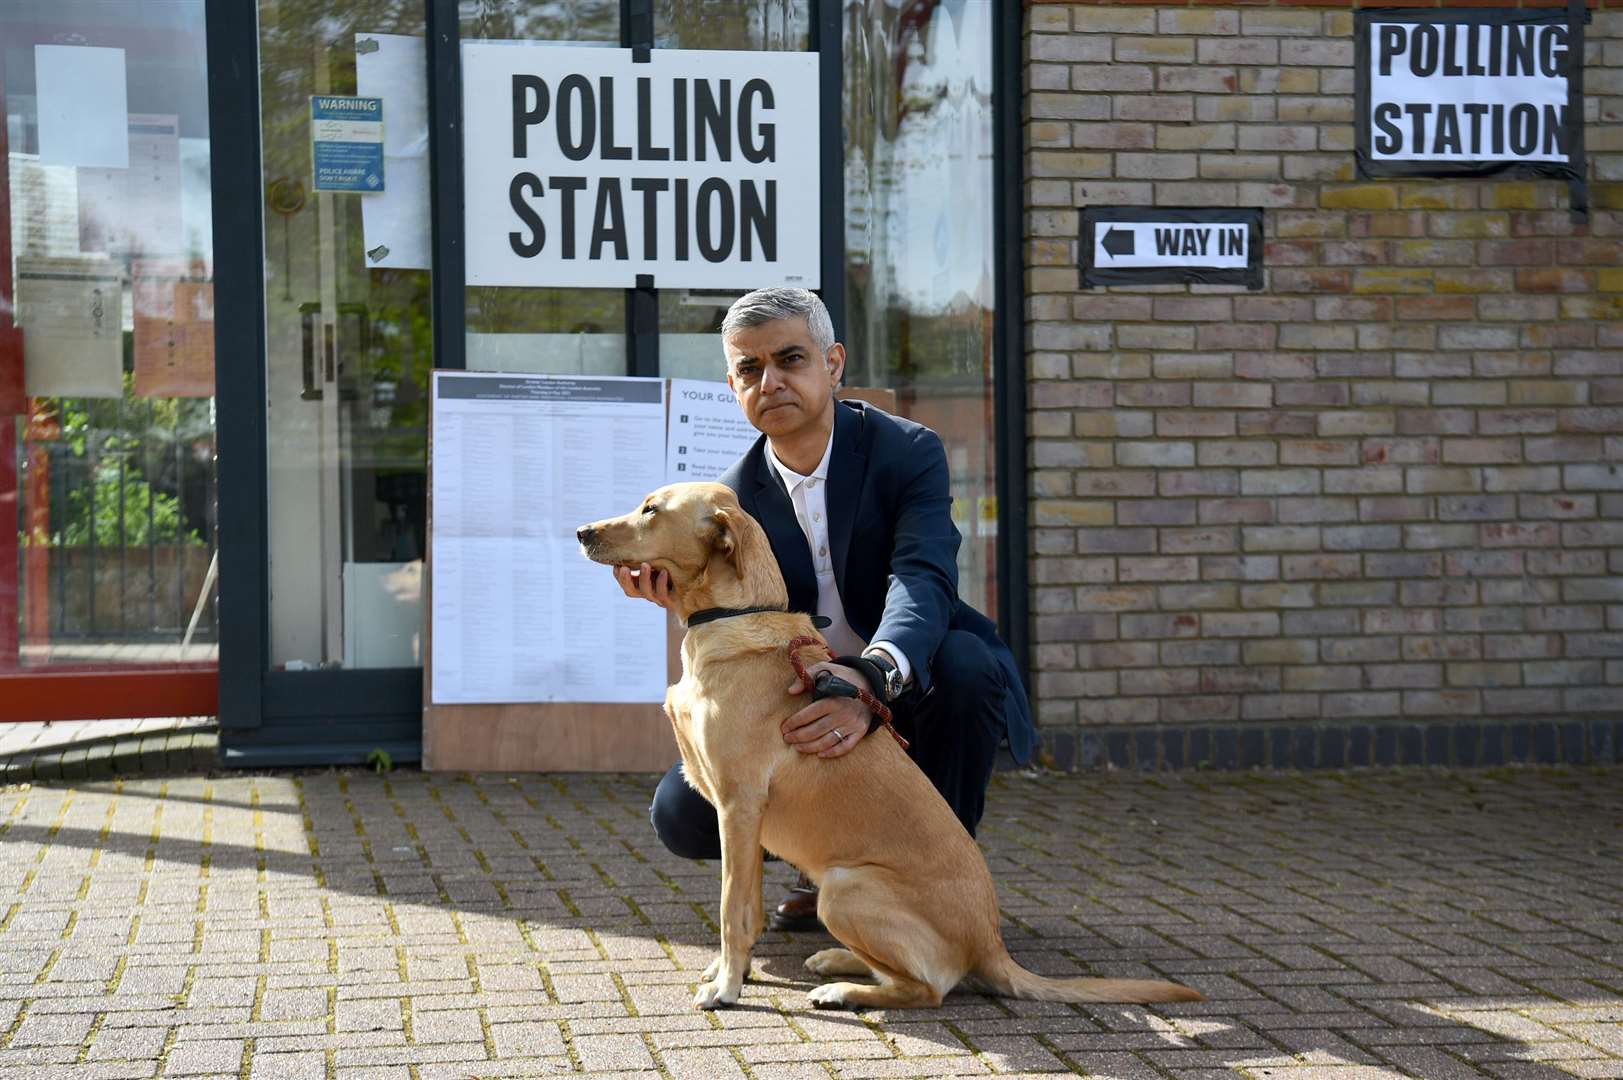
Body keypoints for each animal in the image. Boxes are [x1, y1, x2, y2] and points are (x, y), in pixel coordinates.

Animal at [577, 480, 1201, 1013]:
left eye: (651, 510)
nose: (582, 531)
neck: (732, 617)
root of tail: (992, 943)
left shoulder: (739, 804)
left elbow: (735, 910)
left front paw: (727, 986)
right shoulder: (736, 816)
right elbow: (744, 907)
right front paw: (728, 972)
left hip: (845, 889)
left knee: (930, 989)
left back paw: (844, 990)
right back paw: (837, 962)